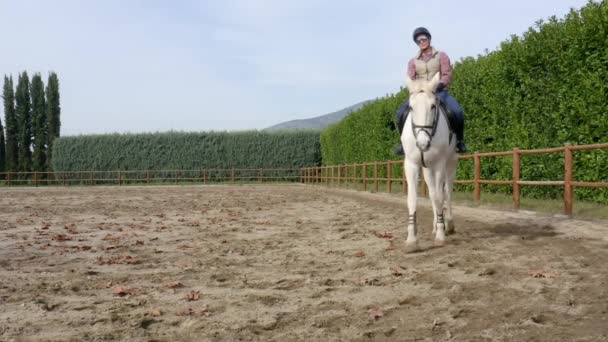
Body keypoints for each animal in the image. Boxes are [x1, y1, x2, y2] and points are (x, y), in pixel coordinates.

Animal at [402, 73, 458, 254]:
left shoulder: (439, 164)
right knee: (433, 193)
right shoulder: (411, 164)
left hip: (450, 163)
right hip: (427, 169)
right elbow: (413, 199)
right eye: (411, 107)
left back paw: (449, 225)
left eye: (433, 106)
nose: (422, 144)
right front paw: (412, 240)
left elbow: (440, 197)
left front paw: (440, 235)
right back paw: (435, 226)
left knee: (446, 192)